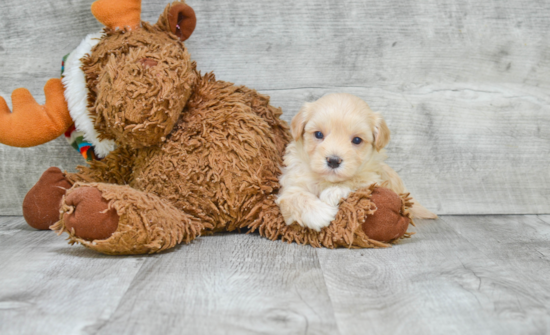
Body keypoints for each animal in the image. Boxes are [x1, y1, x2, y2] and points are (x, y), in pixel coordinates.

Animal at [278, 93, 438, 232]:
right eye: (318, 134)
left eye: (356, 140)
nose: (333, 161)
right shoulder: (291, 185)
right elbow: (295, 197)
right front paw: (319, 213)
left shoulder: (374, 179)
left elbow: (357, 181)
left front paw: (332, 192)